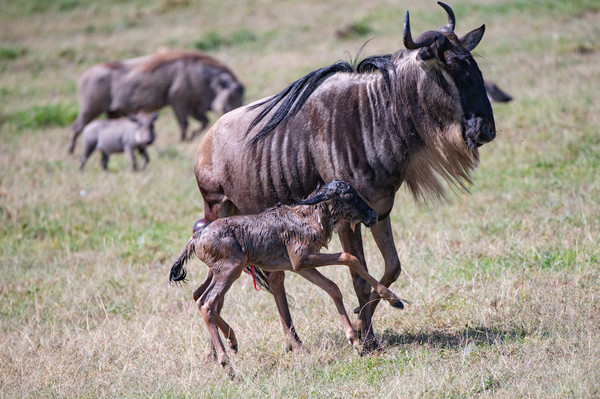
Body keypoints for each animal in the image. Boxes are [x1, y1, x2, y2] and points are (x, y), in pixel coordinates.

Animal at [169, 181, 404, 378]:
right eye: (348, 195)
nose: (373, 215)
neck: (309, 216)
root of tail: (196, 238)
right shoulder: (303, 259)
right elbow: (350, 258)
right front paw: (391, 302)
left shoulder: (299, 266)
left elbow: (333, 288)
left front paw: (355, 337)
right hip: (230, 270)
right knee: (207, 303)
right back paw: (228, 366)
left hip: (217, 272)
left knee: (197, 295)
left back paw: (233, 341)